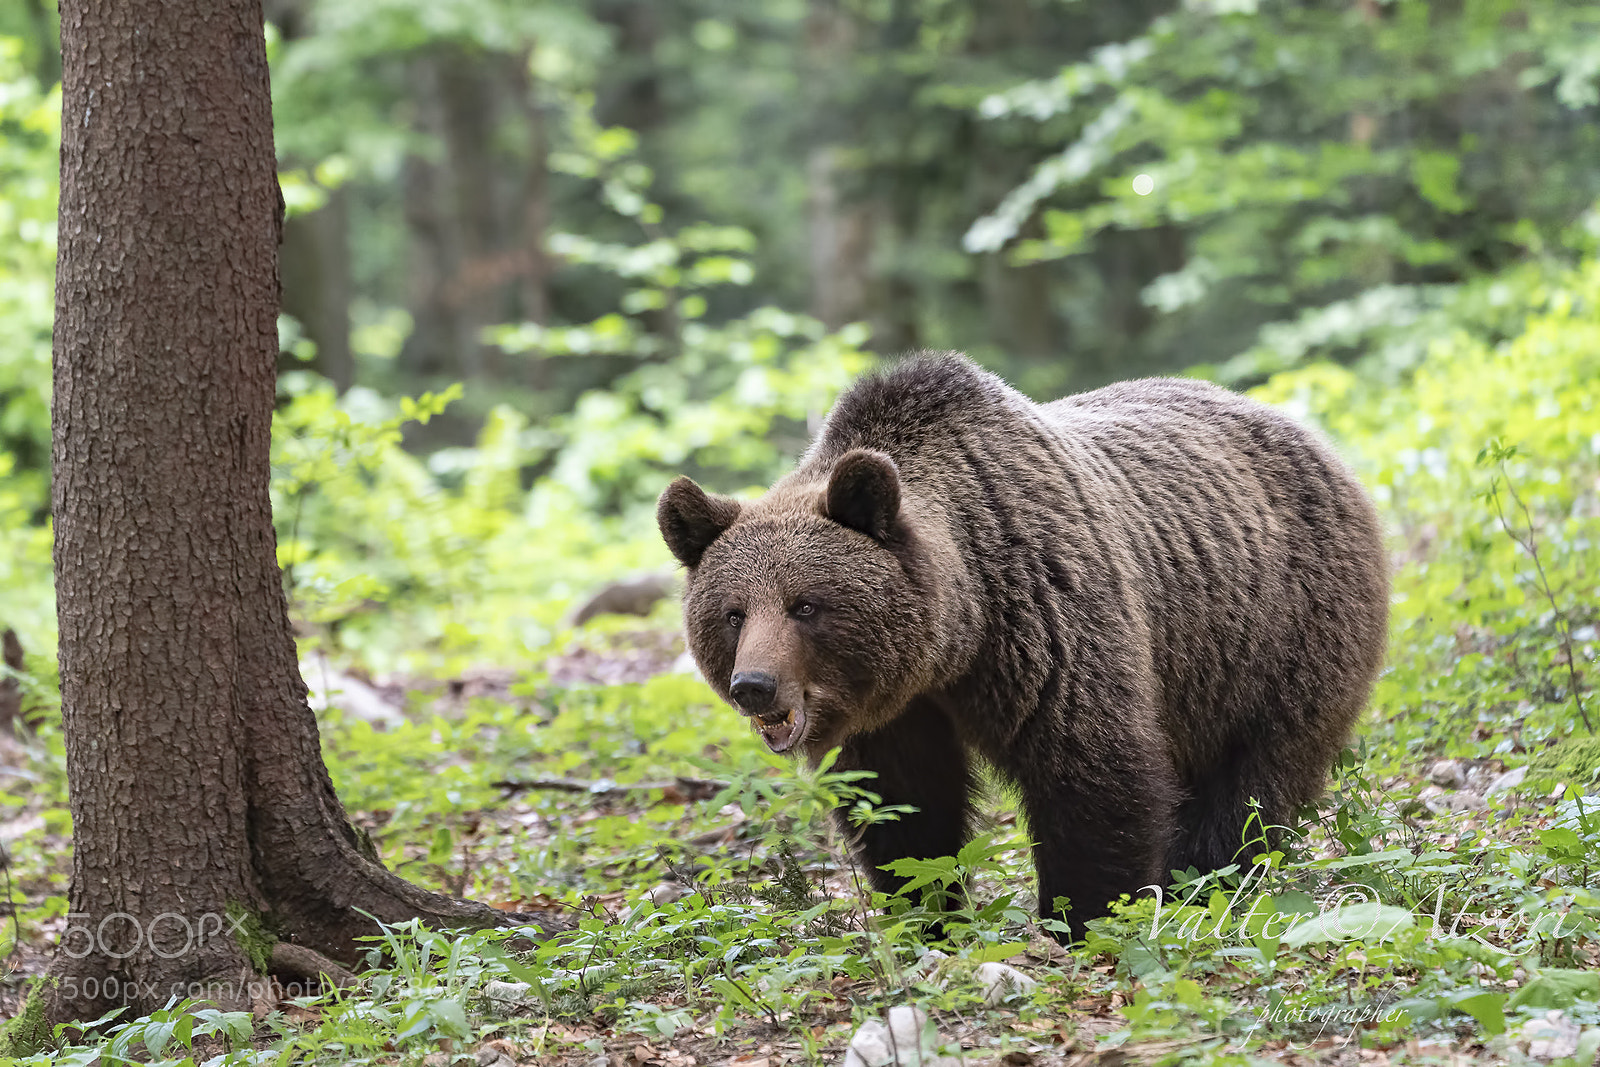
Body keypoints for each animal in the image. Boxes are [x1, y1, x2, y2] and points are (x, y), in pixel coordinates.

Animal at [657, 353, 1388, 938]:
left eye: (805, 604)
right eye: (733, 612)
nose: (755, 685)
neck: (955, 637)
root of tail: (1312, 436)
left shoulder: (1046, 619)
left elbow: (1091, 772)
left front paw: (1083, 917)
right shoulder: (893, 714)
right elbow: (905, 811)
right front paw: (930, 916)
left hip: (1280, 630)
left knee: (1255, 778)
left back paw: (1206, 880)